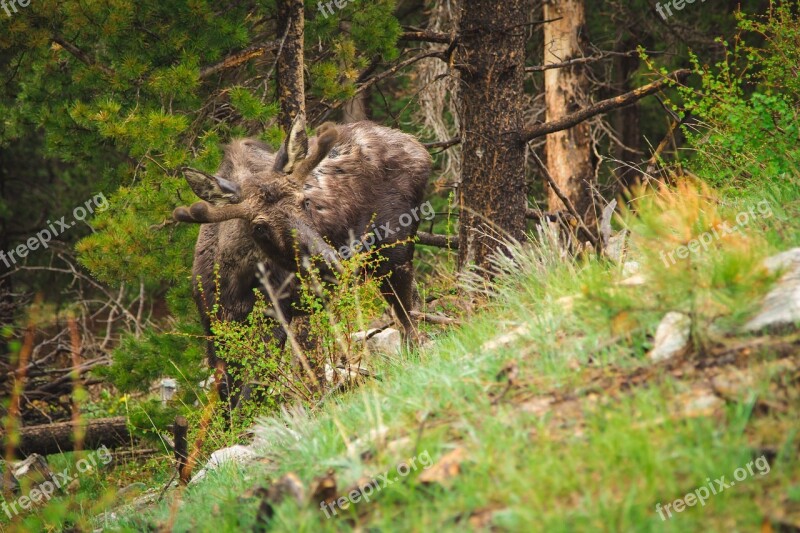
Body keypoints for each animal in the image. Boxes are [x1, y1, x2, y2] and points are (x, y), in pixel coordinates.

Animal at [173, 114, 432, 408]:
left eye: (305, 202)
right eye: (259, 227)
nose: (329, 263)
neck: (234, 285)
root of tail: (419, 148)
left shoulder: (279, 315)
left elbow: (253, 395)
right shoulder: (214, 330)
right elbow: (229, 404)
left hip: (395, 252)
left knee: (407, 317)